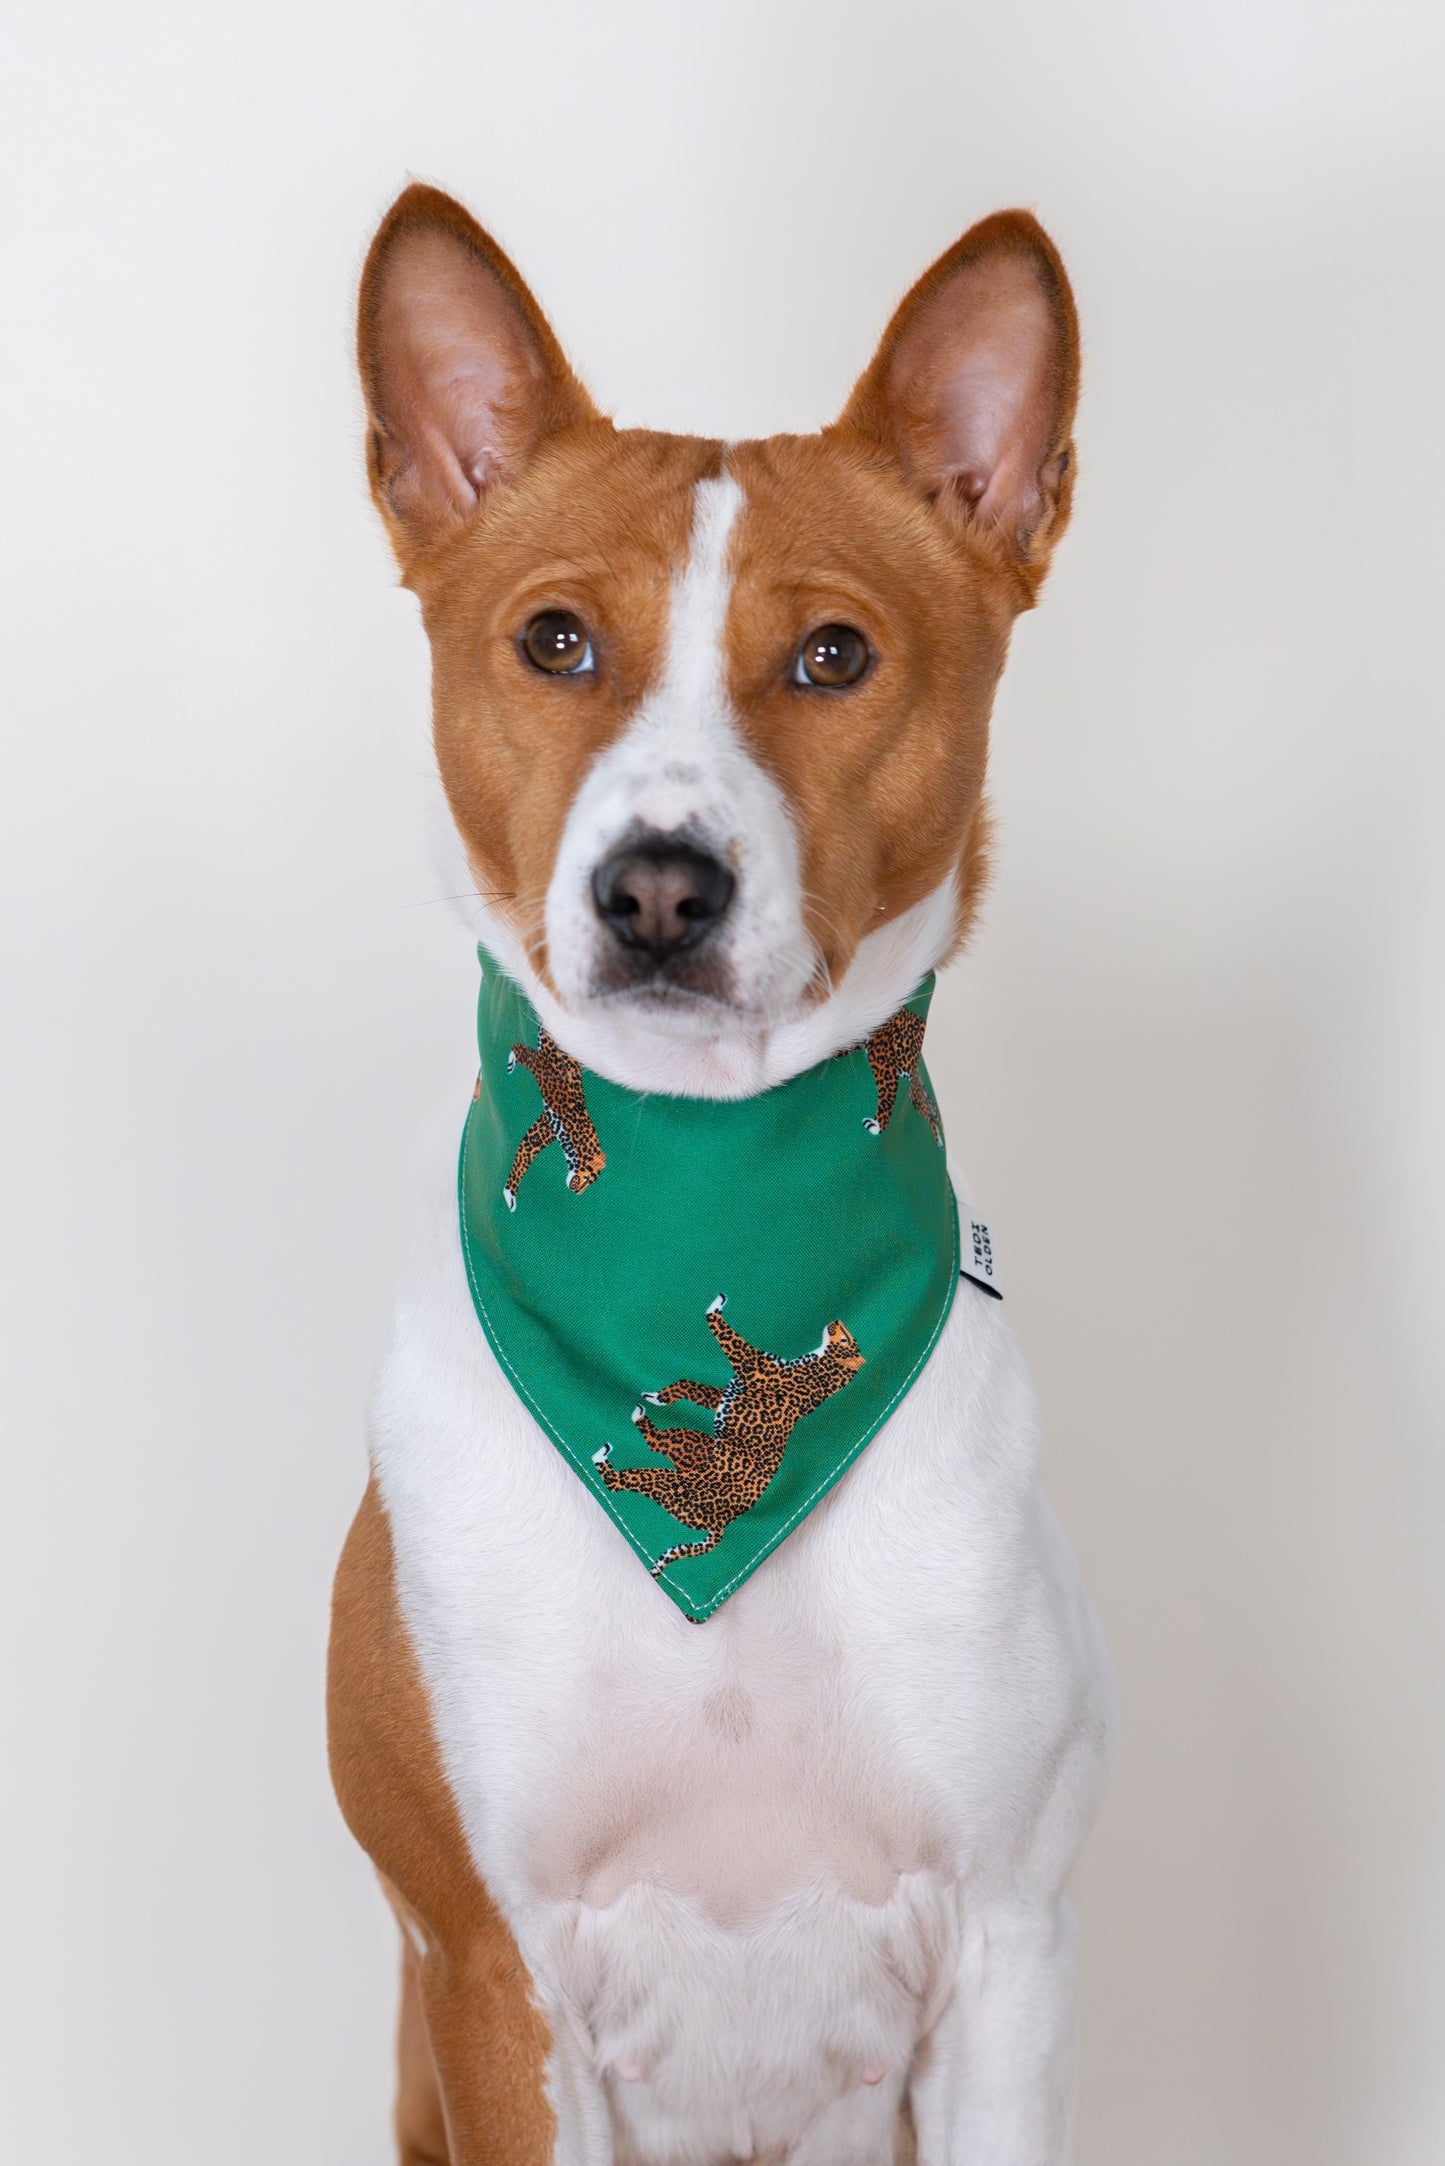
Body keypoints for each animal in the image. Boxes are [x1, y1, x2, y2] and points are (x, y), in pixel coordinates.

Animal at [501, 1028, 606, 1210]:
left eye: (591, 1182)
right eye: (587, 1178)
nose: (578, 1192)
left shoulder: (546, 1129)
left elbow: (524, 1153)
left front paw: (510, 1193)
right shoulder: (551, 1082)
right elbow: (529, 1056)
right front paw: (513, 1057)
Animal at [592, 1295, 865, 1577]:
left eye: (845, 1339)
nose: (836, 1322)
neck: (821, 1369)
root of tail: (723, 1524)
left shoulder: (749, 1363)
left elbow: (725, 1335)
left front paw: (715, 1307)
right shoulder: (725, 1395)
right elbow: (688, 1385)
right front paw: (661, 1396)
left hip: (674, 1478)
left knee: (629, 1473)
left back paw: (605, 1454)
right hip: (692, 1446)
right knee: (656, 1444)